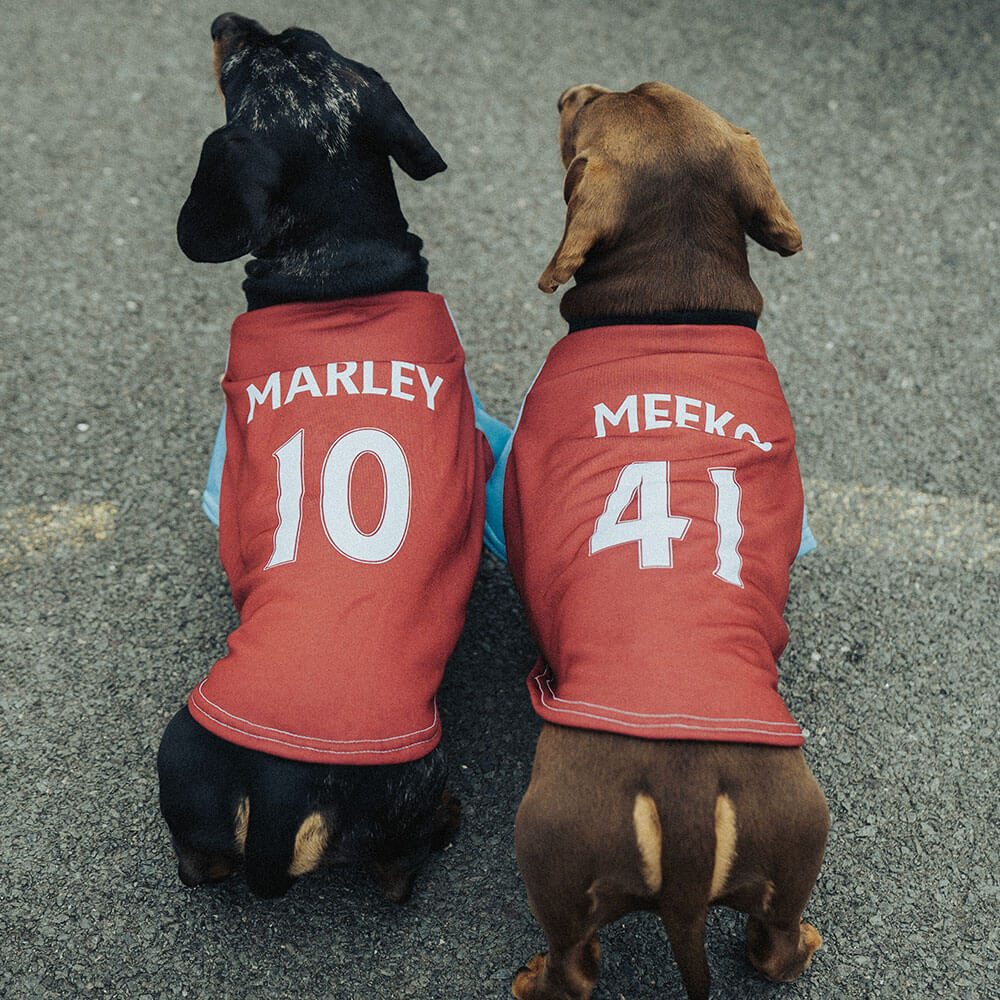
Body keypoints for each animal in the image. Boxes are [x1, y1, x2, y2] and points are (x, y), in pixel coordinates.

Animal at [508, 86, 828, 1000]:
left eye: (589, 111)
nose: (568, 89)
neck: (672, 303)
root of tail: (685, 803)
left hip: (549, 853)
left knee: (576, 965)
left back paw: (534, 977)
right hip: (796, 840)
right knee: (774, 945)